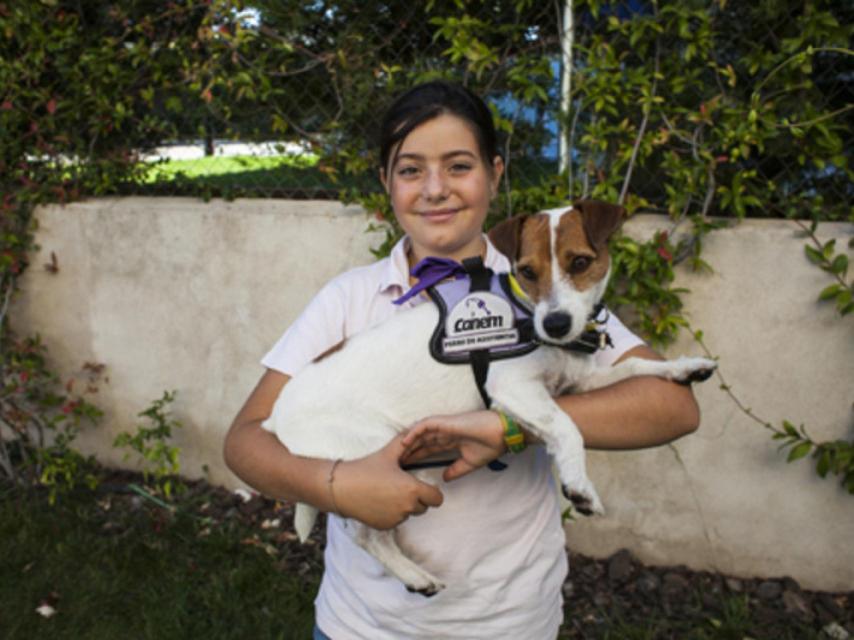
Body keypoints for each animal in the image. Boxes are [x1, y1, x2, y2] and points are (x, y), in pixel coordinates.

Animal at [260, 200, 716, 596]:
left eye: (580, 263)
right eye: (527, 271)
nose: (555, 324)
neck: (529, 320)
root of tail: (276, 416)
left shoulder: (576, 383)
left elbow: (635, 367)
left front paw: (684, 367)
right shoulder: (515, 389)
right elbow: (568, 428)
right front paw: (579, 485)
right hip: (379, 461)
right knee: (365, 533)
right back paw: (413, 574)